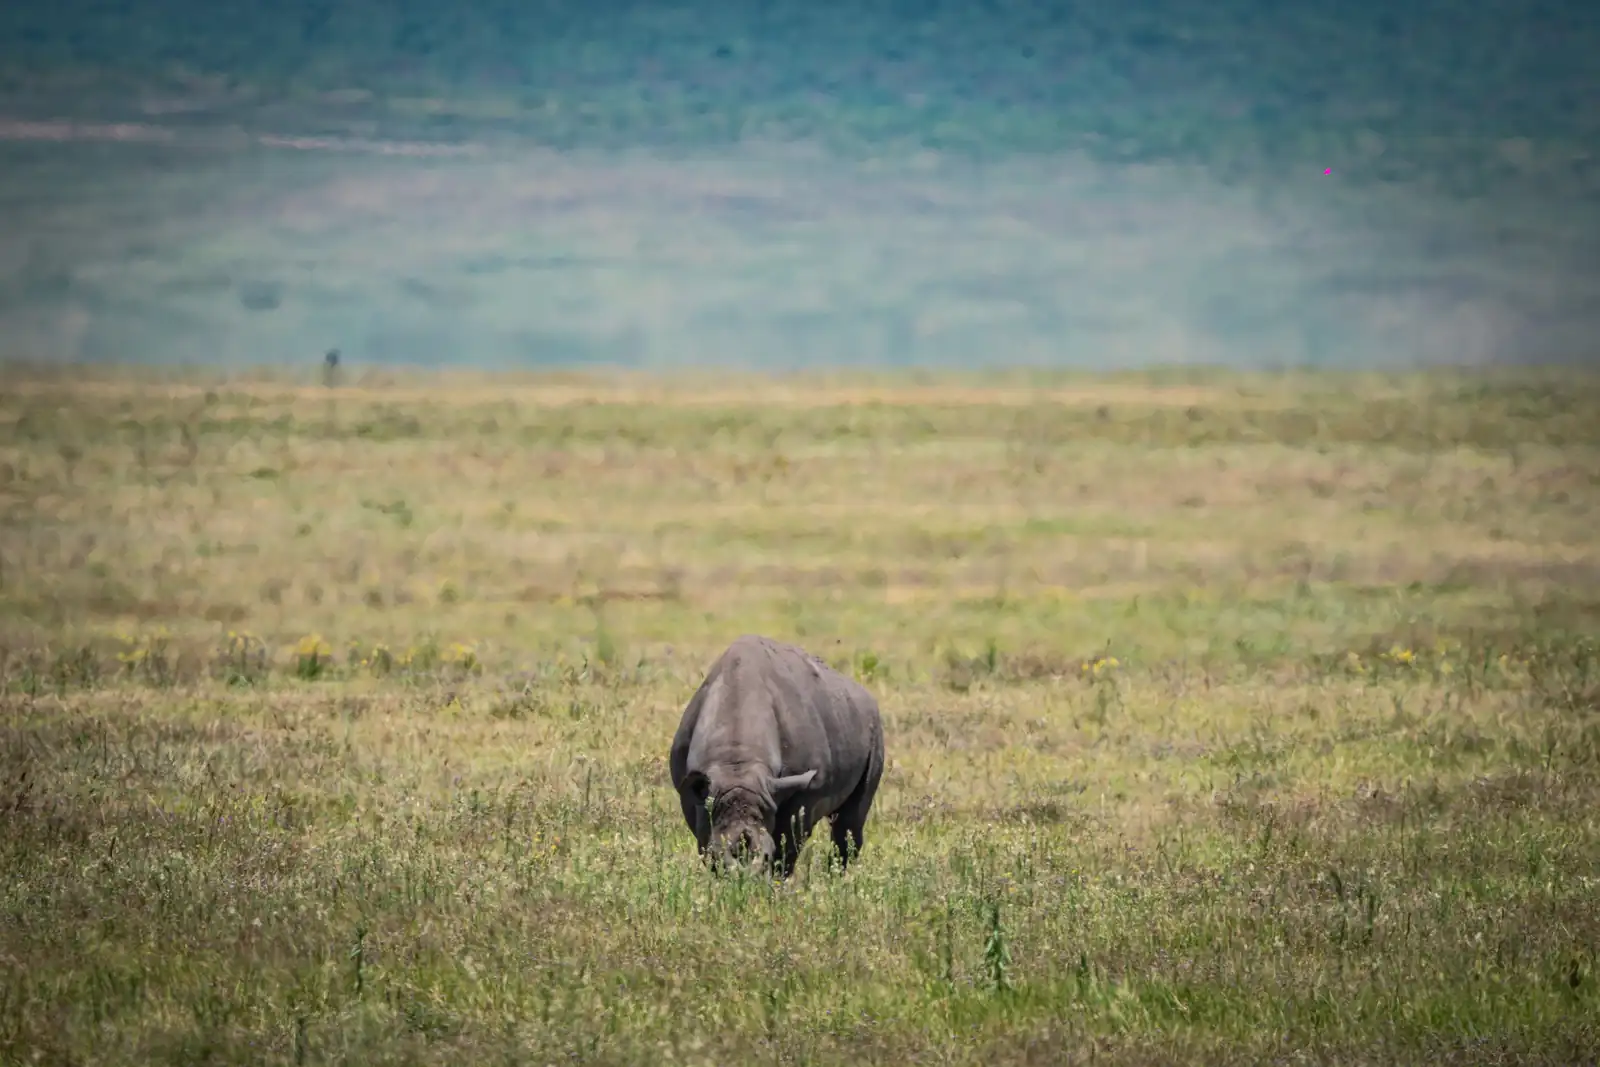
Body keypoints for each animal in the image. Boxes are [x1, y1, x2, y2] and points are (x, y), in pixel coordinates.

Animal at [669, 634, 885, 877]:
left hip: (874, 727)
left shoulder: (800, 791)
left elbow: (787, 842)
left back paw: (836, 878)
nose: (744, 872)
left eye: (765, 856)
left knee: (850, 820)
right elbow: (704, 837)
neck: (736, 763)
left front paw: (776, 880)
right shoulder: (693, 792)